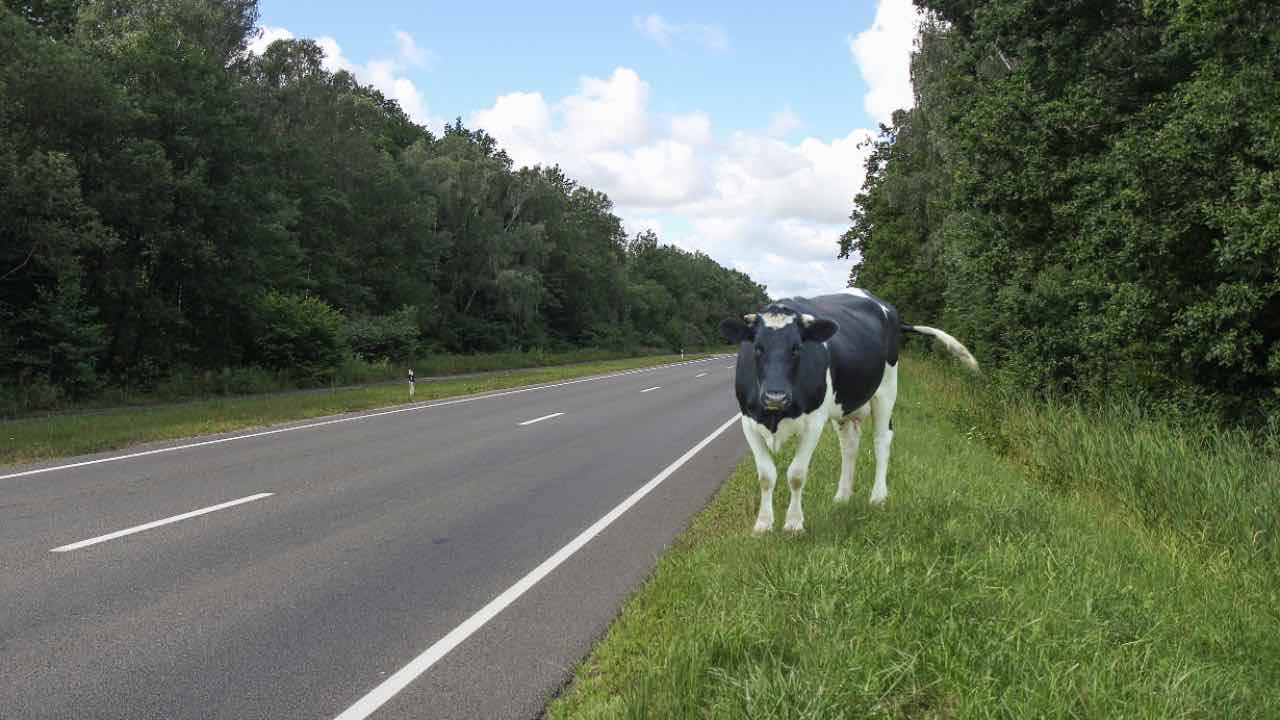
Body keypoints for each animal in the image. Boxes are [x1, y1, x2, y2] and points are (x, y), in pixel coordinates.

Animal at [719, 289, 978, 534]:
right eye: (757, 348)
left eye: (796, 348)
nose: (775, 396)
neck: (776, 415)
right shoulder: (748, 421)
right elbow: (766, 476)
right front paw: (763, 525)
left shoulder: (815, 421)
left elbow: (796, 475)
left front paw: (793, 524)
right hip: (846, 407)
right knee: (849, 446)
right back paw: (843, 496)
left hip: (887, 389)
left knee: (881, 440)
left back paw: (878, 497)